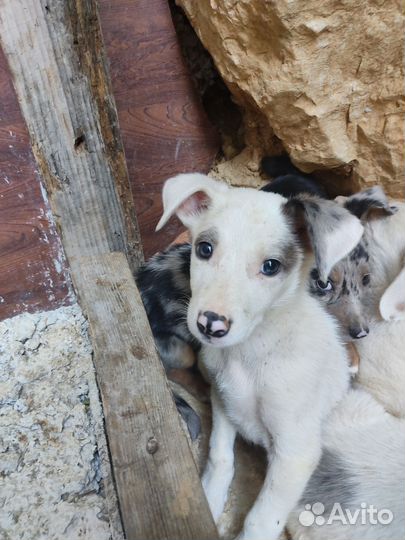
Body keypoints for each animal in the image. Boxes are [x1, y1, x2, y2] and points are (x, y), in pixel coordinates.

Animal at [156, 174, 362, 540]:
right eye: (204, 249)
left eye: (271, 266)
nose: (210, 324)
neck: (250, 355)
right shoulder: (223, 400)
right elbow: (220, 458)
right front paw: (209, 501)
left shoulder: (295, 453)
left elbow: (261, 520)